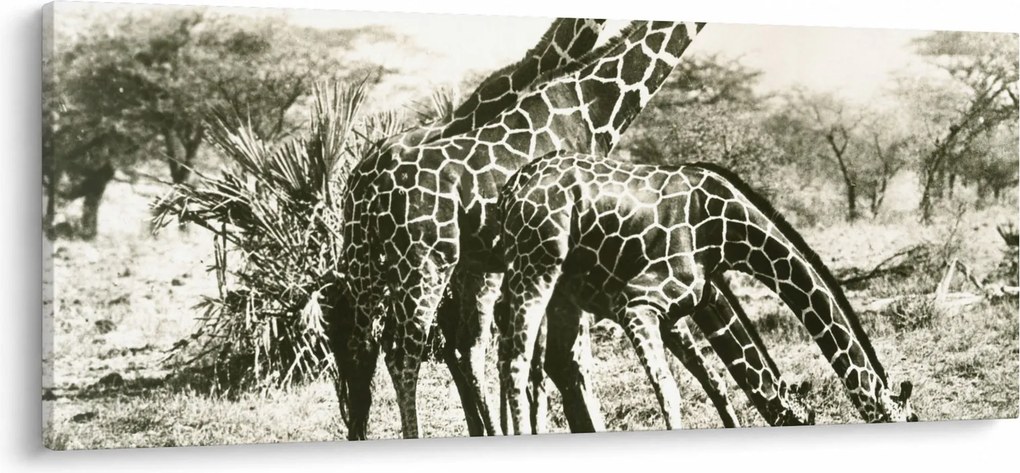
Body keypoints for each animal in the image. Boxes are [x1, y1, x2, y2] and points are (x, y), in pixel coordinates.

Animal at [495, 151, 918, 433]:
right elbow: (671, 392)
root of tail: (510, 189)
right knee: (516, 361)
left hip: (544, 288)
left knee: (538, 364)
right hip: (539, 265)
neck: (729, 230)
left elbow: (716, 383)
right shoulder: (637, 303)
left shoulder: (690, 303)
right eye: (910, 417)